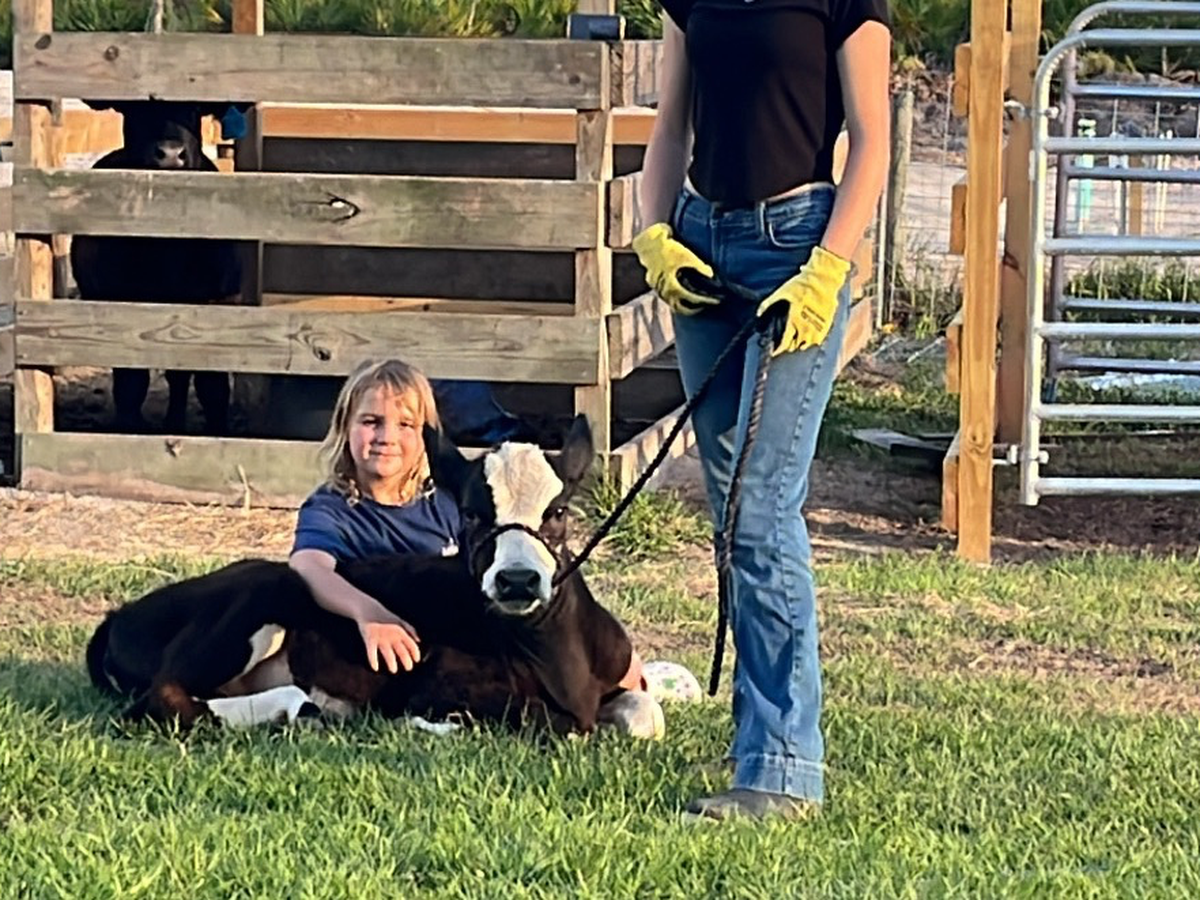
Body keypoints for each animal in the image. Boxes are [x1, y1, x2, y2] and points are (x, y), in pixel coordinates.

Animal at [70, 100, 246, 436]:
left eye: (195, 110)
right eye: (135, 109)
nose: (170, 153)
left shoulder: (219, 301)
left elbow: (212, 385)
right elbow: (130, 383)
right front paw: (129, 426)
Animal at [85, 415, 648, 737]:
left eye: (558, 511)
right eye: (471, 514)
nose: (516, 580)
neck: (559, 659)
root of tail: (121, 615)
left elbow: (646, 715)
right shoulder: (439, 686)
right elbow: (542, 720)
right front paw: (436, 727)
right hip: (262, 594)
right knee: (162, 698)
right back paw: (298, 708)